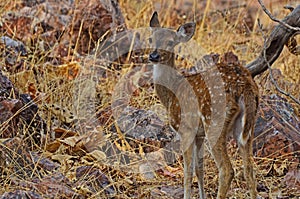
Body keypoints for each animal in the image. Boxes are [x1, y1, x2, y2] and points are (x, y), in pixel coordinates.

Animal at [149, 12, 258, 199]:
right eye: (151, 39)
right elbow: (199, 169)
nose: (153, 56)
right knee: (249, 169)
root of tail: (245, 85)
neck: (172, 93)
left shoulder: (186, 128)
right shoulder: (198, 134)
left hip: (215, 122)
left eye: (170, 42)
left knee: (227, 170)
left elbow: (188, 172)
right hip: (246, 127)